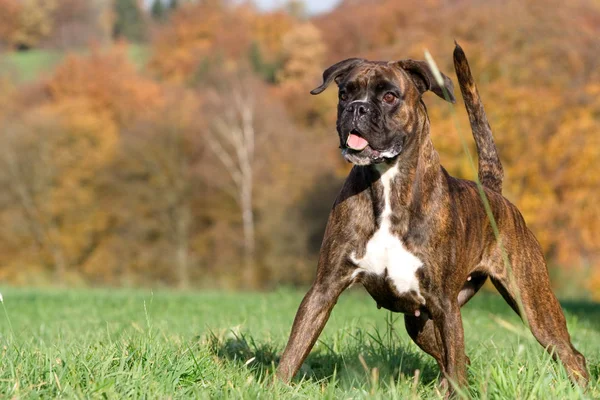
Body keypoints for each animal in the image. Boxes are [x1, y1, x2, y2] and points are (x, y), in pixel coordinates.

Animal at [276, 42, 592, 392]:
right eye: (345, 93)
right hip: (421, 322)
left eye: (390, 96)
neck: (387, 183)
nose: (356, 108)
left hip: (532, 305)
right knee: (457, 360)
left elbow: (455, 363)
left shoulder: (444, 304)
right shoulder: (324, 288)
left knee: (568, 355)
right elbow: (294, 350)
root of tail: (491, 191)